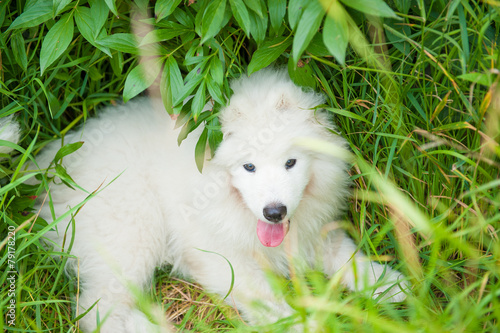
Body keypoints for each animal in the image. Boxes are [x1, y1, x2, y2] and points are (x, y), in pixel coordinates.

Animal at [3, 68, 408, 330]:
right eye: (249, 167)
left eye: (291, 163)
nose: (274, 212)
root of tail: (48, 165)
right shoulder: (221, 258)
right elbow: (270, 301)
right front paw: (300, 324)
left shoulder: (314, 233)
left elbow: (350, 259)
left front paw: (394, 287)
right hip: (132, 235)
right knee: (96, 310)